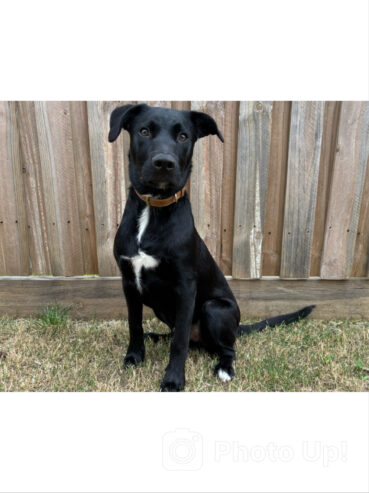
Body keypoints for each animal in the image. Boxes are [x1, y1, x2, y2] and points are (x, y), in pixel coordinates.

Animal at [108, 104, 314, 392]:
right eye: (144, 131)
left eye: (183, 136)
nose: (164, 163)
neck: (153, 210)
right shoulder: (129, 282)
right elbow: (134, 325)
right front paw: (134, 357)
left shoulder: (185, 288)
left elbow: (179, 343)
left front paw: (173, 380)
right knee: (179, 334)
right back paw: (156, 336)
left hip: (214, 309)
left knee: (224, 348)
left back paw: (225, 368)